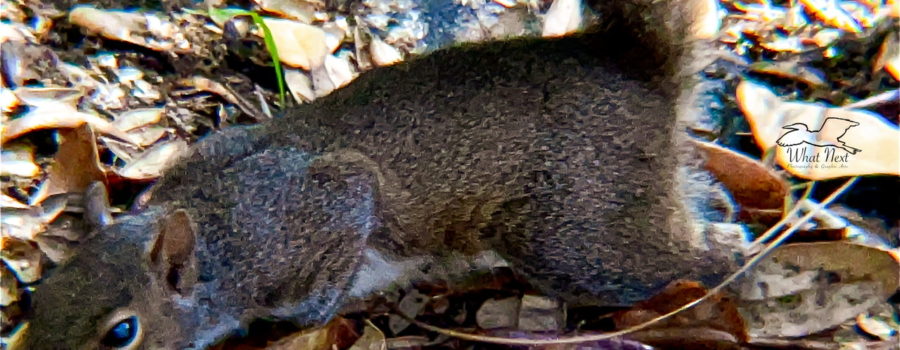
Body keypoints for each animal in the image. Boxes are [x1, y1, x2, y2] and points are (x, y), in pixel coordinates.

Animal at [12, 1, 744, 348]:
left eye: (122, 334)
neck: (216, 232)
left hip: (576, 237)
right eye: (39, 299)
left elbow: (332, 262)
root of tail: (639, 74)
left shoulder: (318, 214)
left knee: (697, 257)